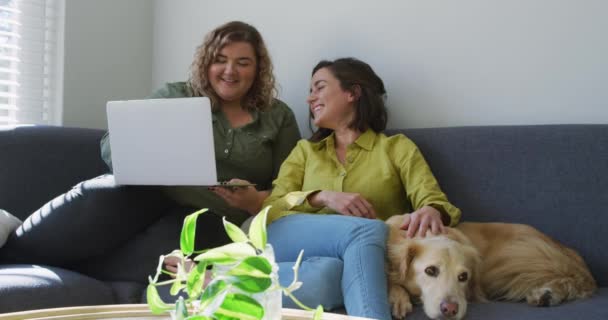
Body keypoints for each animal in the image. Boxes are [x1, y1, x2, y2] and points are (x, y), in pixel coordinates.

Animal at [388, 214, 596, 318]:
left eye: (464, 277)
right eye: (430, 271)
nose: (450, 310)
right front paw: (398, 298)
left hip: (507, 263)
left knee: (570, 278)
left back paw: (547, 294)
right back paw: (546, 295)